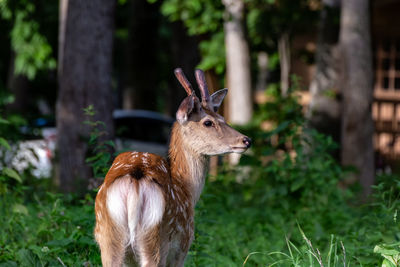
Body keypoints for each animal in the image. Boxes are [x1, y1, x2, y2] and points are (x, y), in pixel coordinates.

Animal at [94, 69, 250, 267]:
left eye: (222, 118)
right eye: (208, 122)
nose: (246, 140)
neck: (187, 189)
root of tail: (135, 181)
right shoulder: (183, 245)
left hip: (108, 238)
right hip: (156, 239)